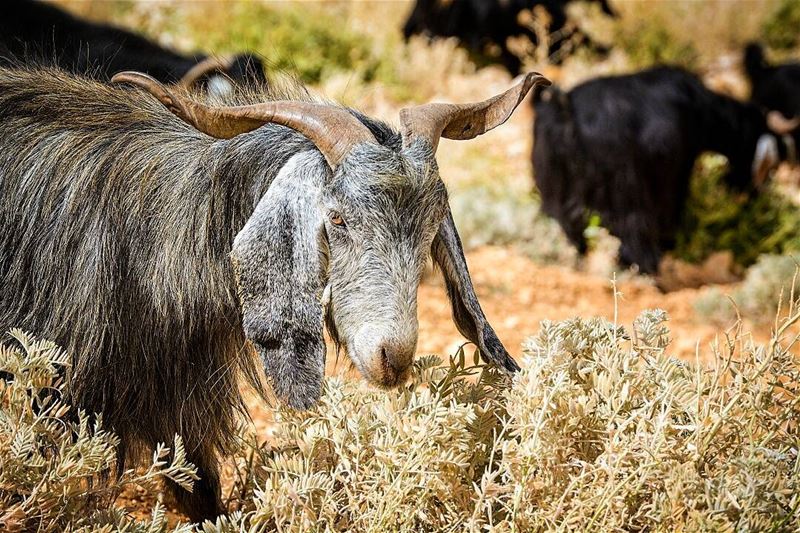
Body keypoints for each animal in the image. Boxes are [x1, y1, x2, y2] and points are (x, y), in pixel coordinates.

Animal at [532, 66, 788, 274]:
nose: (755, 194)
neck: (702, 107)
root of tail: (565, 112)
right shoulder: (679, 169)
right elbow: (672, 210)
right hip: (623, 191)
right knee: (631, 230)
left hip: (554, 190)